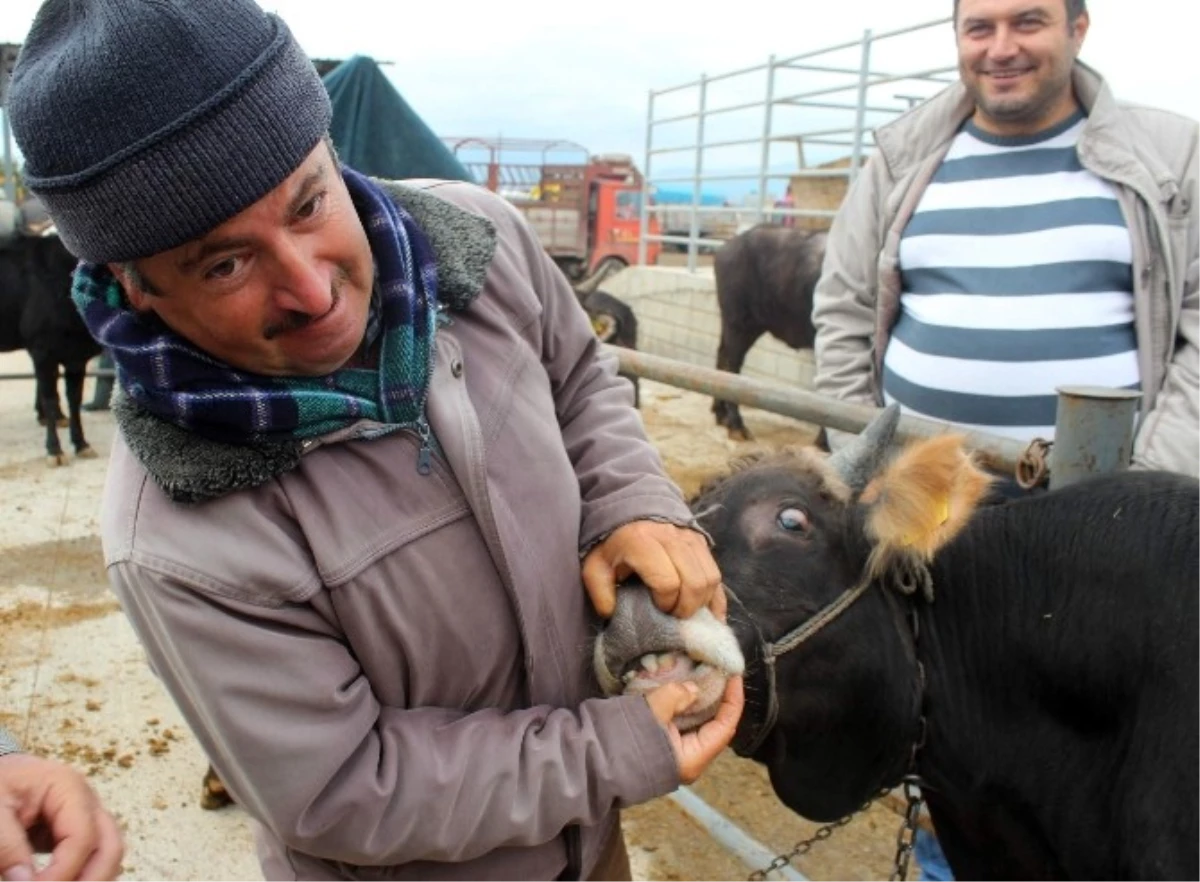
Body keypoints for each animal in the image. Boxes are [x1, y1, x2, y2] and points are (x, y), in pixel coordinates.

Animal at [0, 224, 100, 465]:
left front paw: (81, 444)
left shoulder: (76, 355)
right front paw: (54, 450)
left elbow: (74, 398)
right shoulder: (42, 349)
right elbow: (50, 398)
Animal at [710, 225, 825, 441]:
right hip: (739, 324)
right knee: (732, 365)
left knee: (721, 355)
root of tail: (726, 248)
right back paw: (736, 425)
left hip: (741, 325)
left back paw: (720, 414)